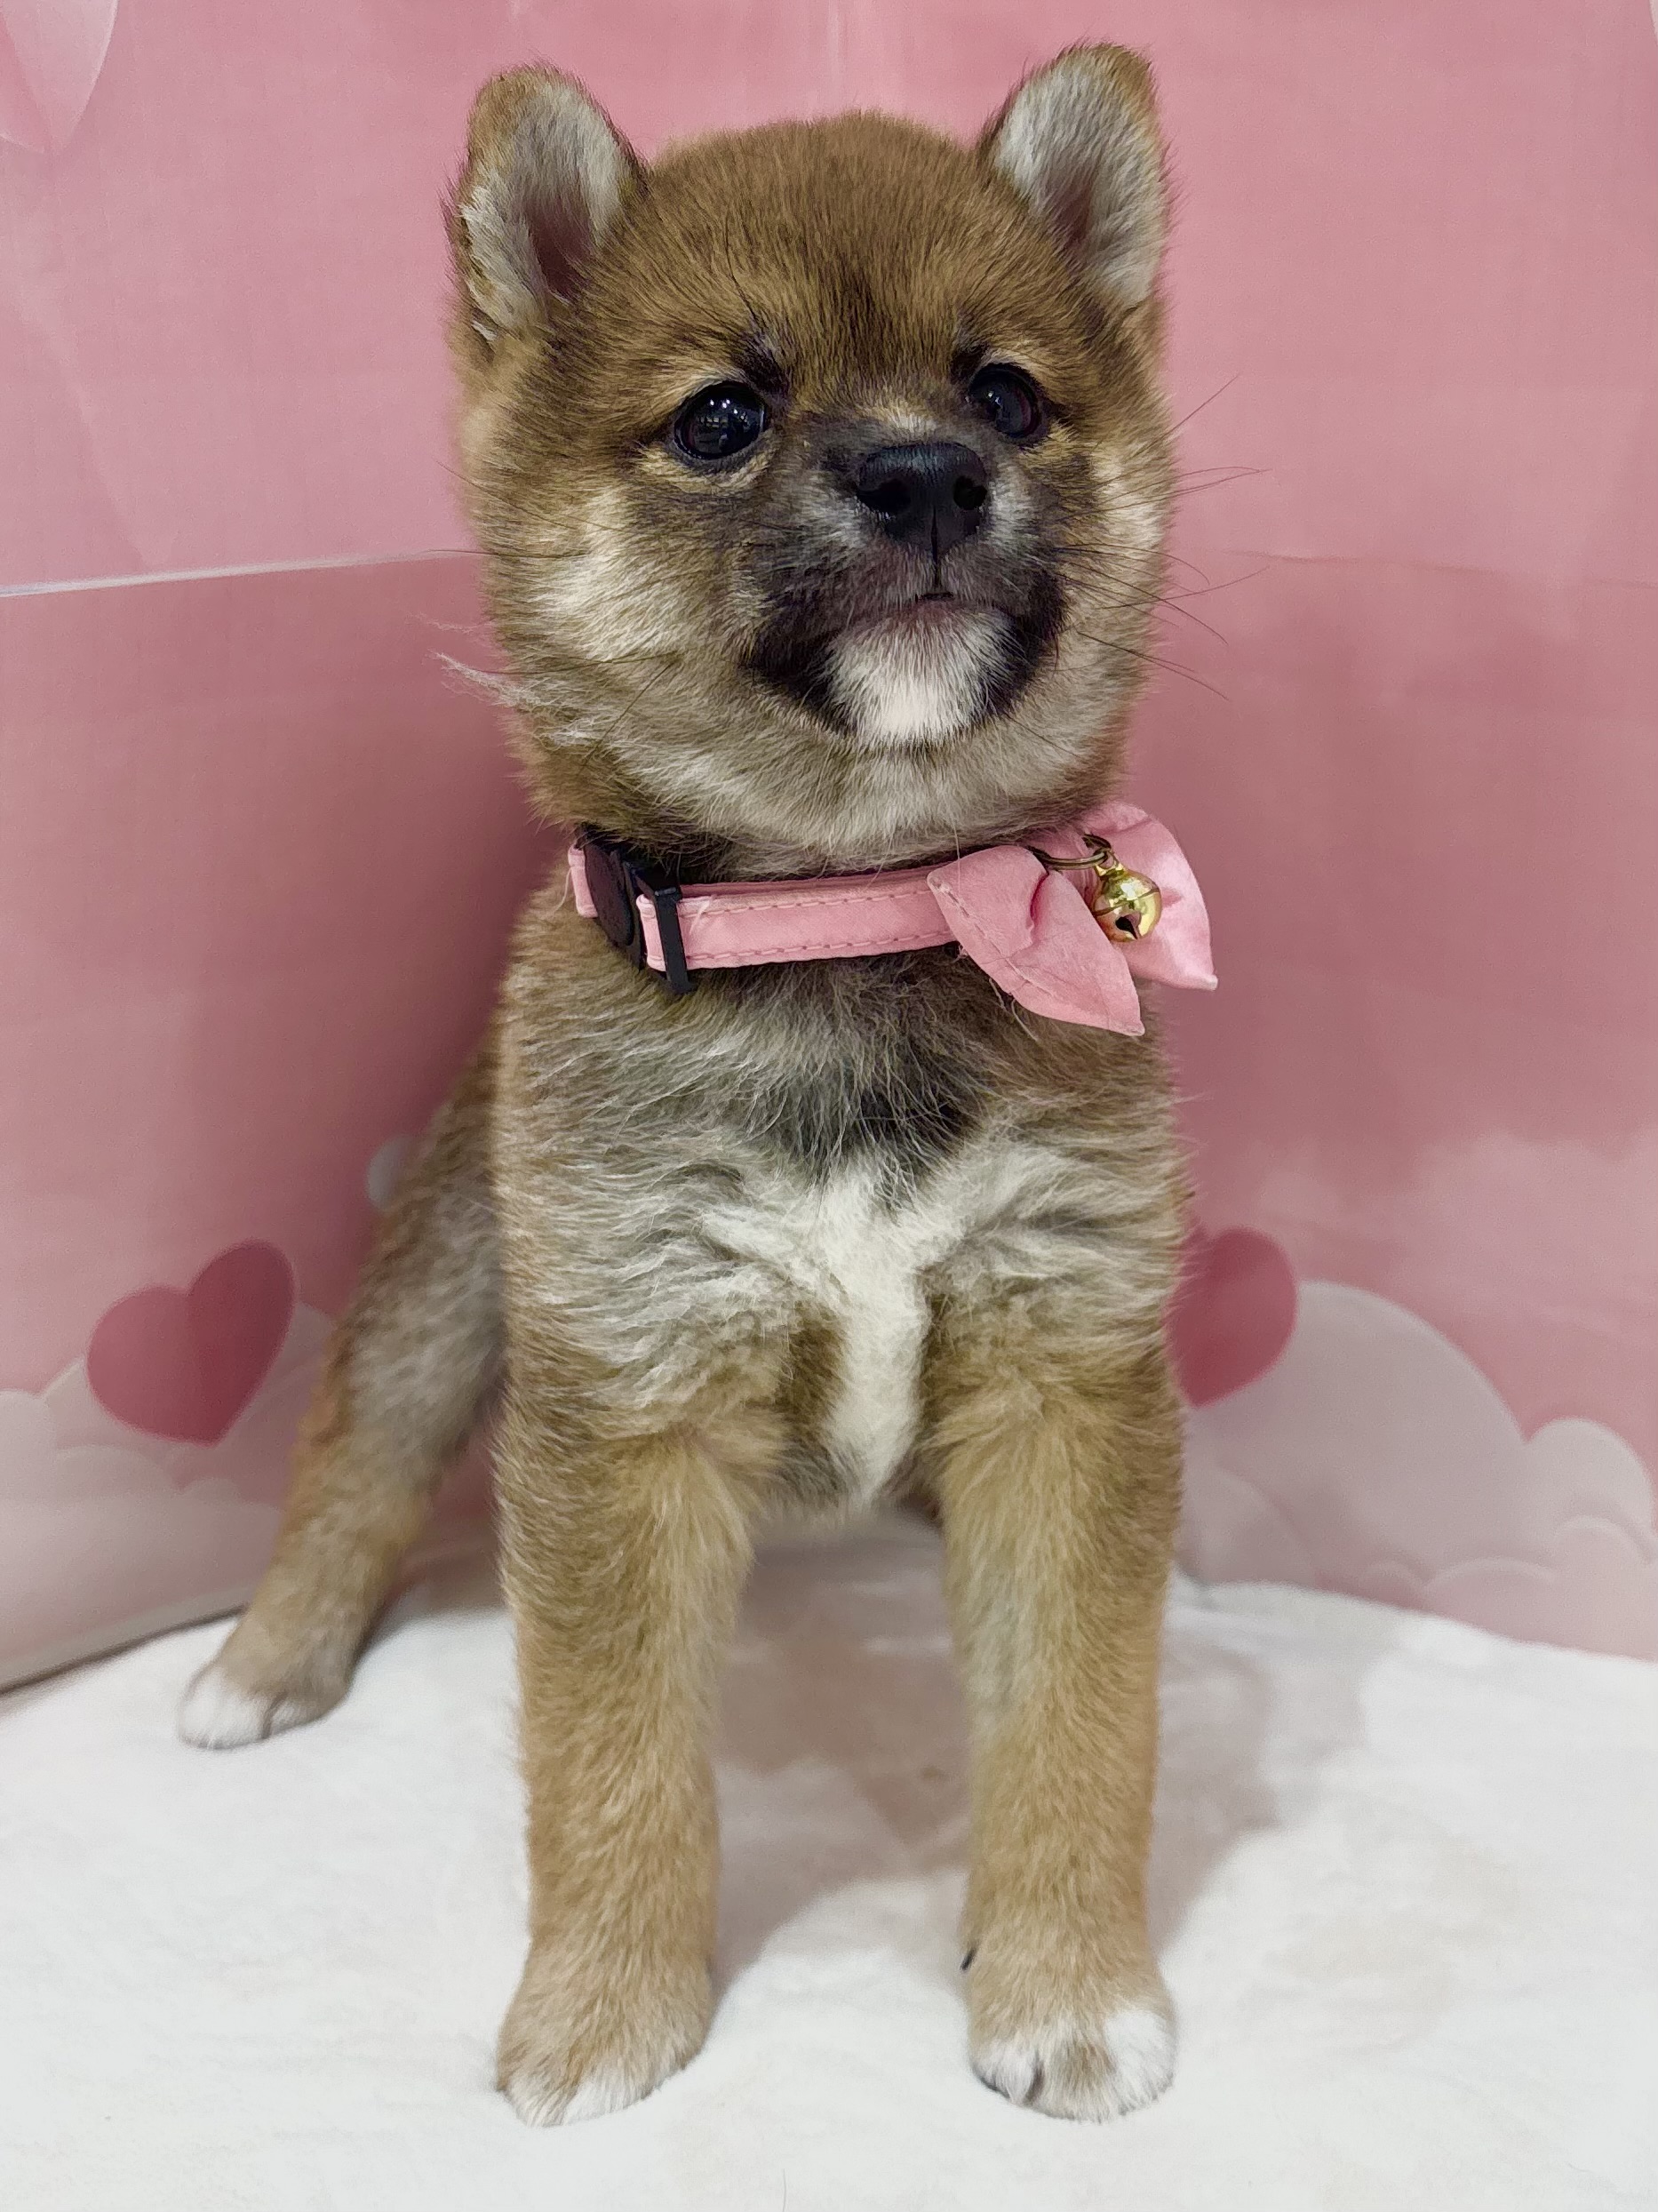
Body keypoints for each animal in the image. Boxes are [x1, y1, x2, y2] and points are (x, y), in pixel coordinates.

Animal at [180, 46, 1206, 2127]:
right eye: (723, 415)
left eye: (1005, 390)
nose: (924, 469)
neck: (852, 915)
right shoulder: (626, 1404)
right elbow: (608, 1765)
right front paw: (600, 2008)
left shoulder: (1065, 1367)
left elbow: (1078, 1721)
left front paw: (1068, 1981)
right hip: (448, 1294)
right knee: (350, 1465)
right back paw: (266, 1660)